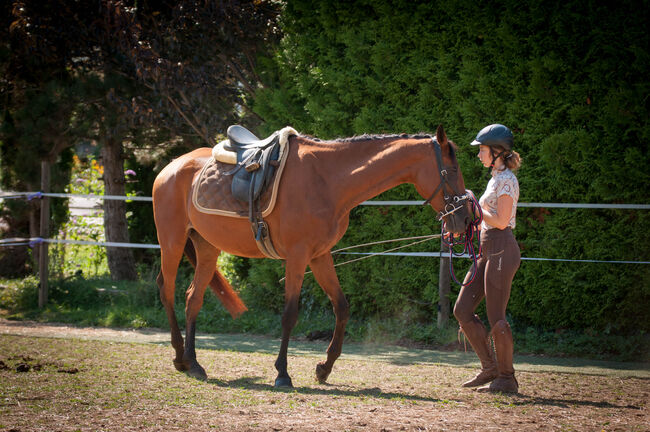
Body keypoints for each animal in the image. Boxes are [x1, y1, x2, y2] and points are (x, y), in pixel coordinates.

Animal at [154, 124, 474, 384]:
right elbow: (289, 314)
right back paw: (179, 357)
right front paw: (283, 374)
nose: (464, 218)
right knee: (167, 290)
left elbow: (341, 307)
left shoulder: (320, 255)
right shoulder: (298, 256)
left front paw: (324, 368)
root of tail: (171, 167)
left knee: (193, 298)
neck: (327, 180)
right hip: (172, 242)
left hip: (207, 247)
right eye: (452, 170)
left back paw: (193, 363)